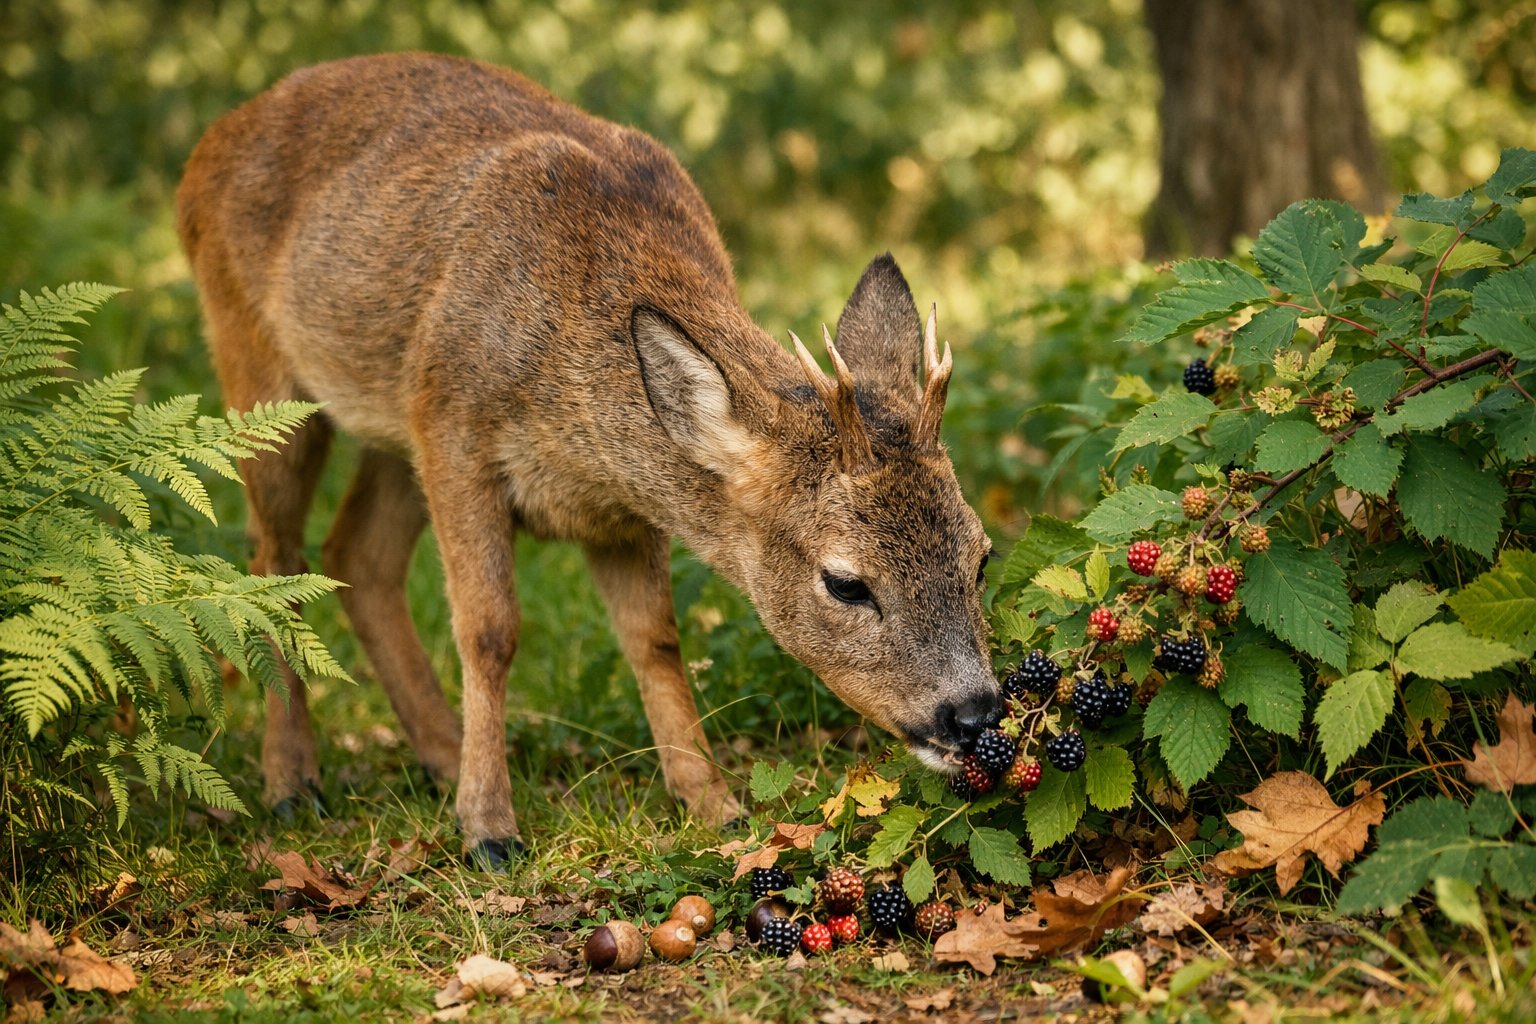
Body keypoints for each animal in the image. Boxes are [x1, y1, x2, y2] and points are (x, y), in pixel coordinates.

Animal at [176, 52, 1002, 867]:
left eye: (982, 555)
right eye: (846, 582)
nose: (974, 713)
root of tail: (208, 146)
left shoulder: (618, 508)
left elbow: (655, 638)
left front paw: (713, 803)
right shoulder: (457, 433)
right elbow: (490, 630)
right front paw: (490, 829)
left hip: (396, 418)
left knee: (357, 555)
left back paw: (440, 756)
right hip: (261, 366)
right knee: (272, 561)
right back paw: (293, 783)